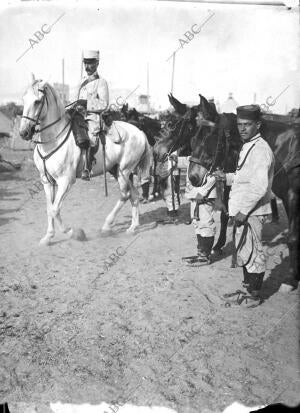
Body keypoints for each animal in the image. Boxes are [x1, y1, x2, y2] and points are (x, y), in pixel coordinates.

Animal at [18, 75, 151, 245]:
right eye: (24, 99)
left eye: (37, 101)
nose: (24, 132)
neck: (54, 138)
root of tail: (140, 132)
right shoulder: (46, 181)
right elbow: (49, 208)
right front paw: (48, 237)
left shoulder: (66, 181)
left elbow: (55, 209)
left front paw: (73, 233)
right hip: (117, 170)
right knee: (133, 194)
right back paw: (133, 227)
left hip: (124, 171)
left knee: (125, 194)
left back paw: (107, 226)